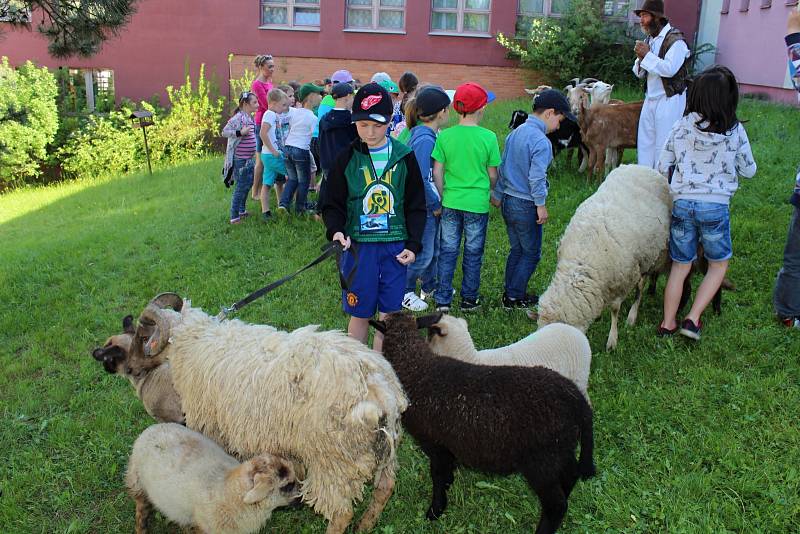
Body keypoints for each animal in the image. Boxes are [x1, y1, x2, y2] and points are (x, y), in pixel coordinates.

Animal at [126, 426, 296, 532]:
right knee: (141, 510)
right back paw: (141, 528)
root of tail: (150, 429)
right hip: (137, 481)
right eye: (287, 486)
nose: (300, 501)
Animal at [536, 166, 676, 352]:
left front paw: (612, 340)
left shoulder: (623, 280)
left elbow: (615, 310)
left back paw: (632, 316)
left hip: (650, 256)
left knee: (641, 286)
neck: (583, 257)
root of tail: (644, 167)